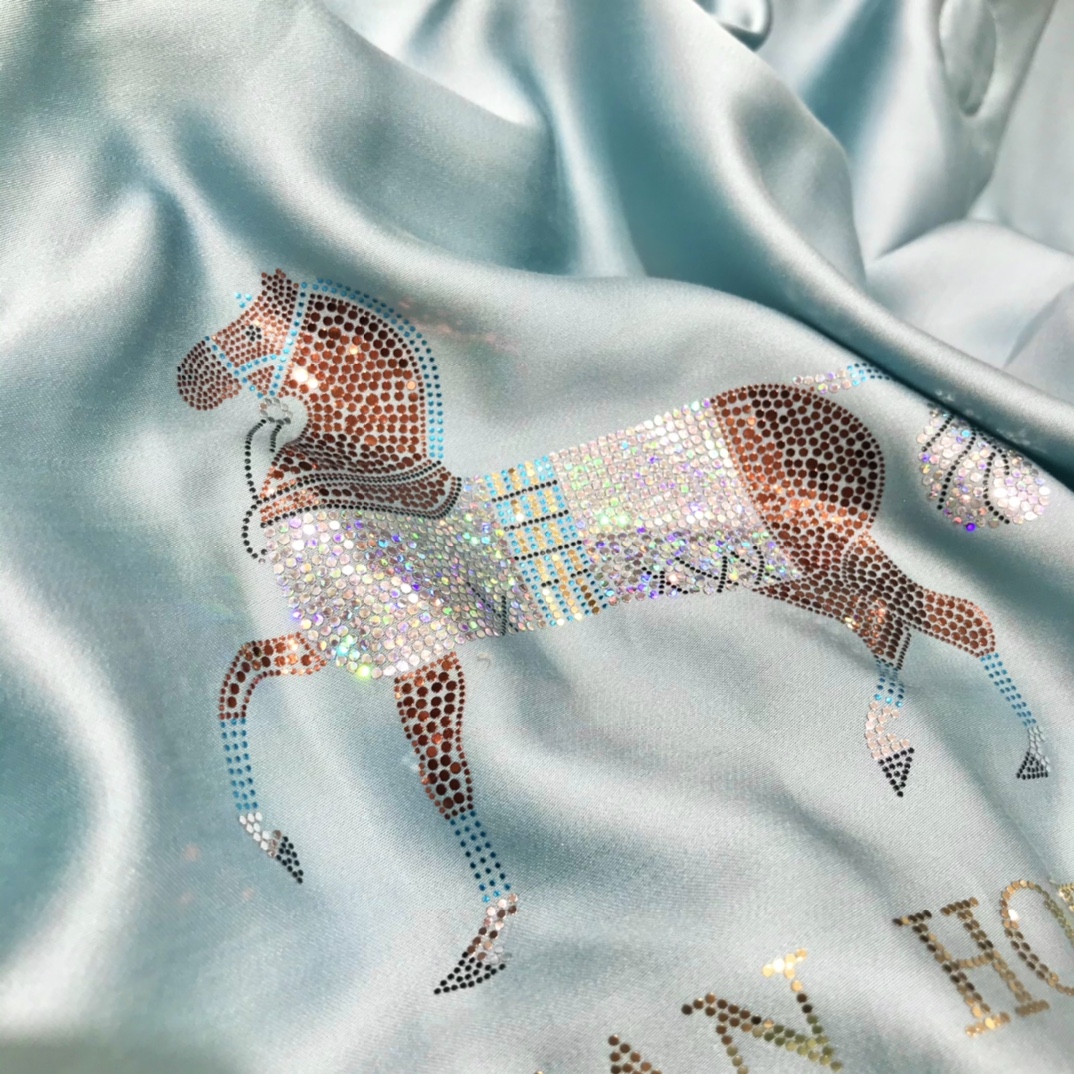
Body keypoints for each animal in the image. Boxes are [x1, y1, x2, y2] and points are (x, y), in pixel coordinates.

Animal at [177, 269, 1049, 993]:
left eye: (248, 332)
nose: (186, 380)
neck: (370, 482)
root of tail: (822, 389)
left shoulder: (420, 660)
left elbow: (445, 782)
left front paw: (485, 944)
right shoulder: (339, 649)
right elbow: (235, 683)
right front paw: (277, 845)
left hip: (830, 550)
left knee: (960, 620)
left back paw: (1024, 755)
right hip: (790, 576)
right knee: (888, 624)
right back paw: (891, 748)